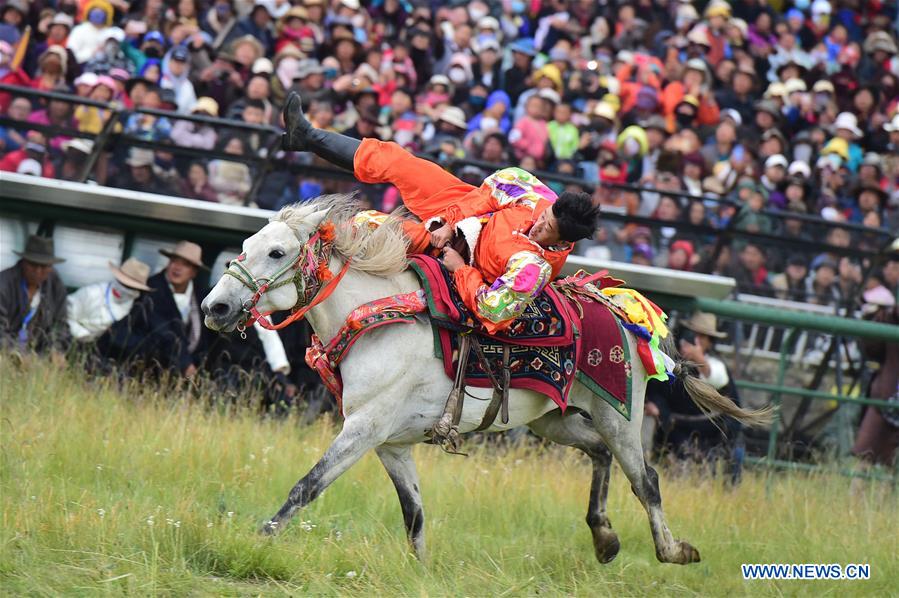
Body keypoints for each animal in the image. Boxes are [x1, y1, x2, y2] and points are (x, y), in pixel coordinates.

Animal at [201, 194, 770, 565]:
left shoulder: (364, 429)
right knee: (598, 455)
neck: (378, 315)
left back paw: (672, 551)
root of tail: (620, 312)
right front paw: (419, 573)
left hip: (620, 417)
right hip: (554, 420)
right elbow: (415, 516)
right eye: (247, 243)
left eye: (277, 252)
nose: (215, 307)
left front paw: (259, 539)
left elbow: (307, 486)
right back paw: (604, 538)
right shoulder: (391, 444)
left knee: (645, 479)